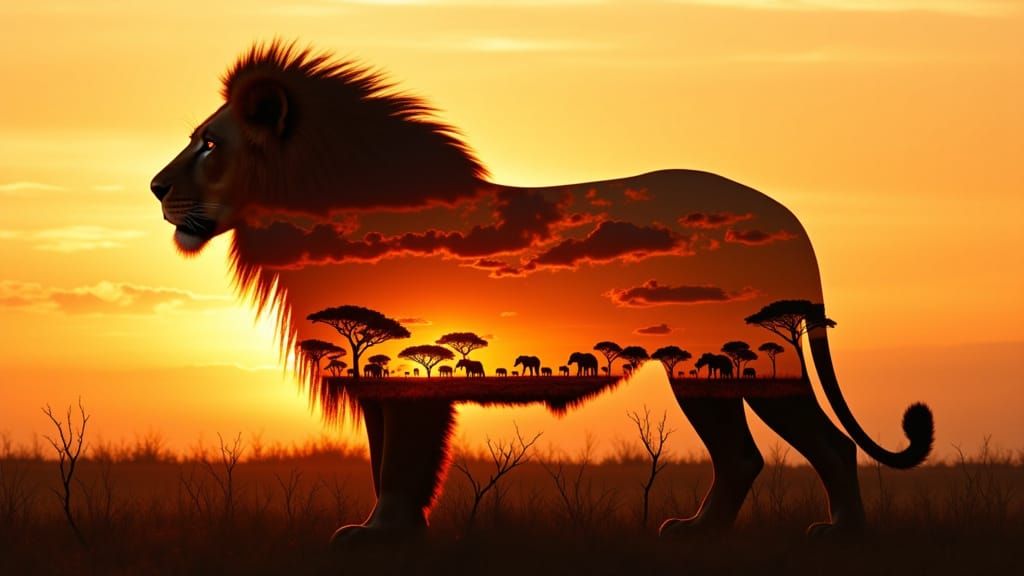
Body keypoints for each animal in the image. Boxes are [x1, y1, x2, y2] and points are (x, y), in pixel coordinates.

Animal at [150, 42, 933, 546]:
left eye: (209, 145)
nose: (155, 187)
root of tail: (790, 219)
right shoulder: (376, 368)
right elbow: (382, 457)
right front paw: (392, 534)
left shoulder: (408, 372)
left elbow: (402, 460)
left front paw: (378, 534)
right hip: (702, 371)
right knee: (741, 457)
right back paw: (697, 534)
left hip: (754, 363)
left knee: (831, 445)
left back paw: (842, 535)